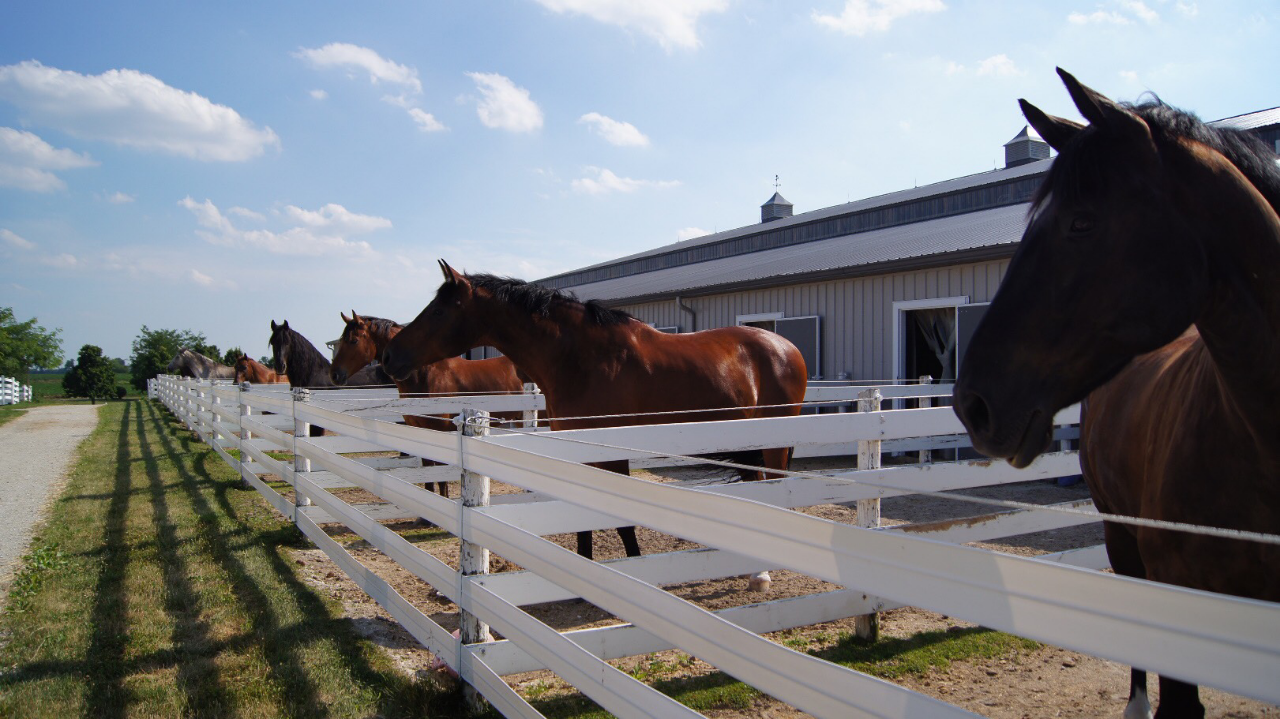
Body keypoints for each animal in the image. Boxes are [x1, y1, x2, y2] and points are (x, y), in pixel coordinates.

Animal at [330, 310, 526, 498]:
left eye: (353, 340)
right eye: (341, 341)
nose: (334, 375)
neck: (425, 375)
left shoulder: (439, 431)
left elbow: (440, 475)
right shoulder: (420, 431)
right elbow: (429, 475)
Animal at [381, 261, 808, 573]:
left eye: (439, 309)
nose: (389, 357)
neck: (582, 359)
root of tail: (784, 345)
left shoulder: (610, 448)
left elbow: (621, 518)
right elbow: (581, 516)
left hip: (773, 437)